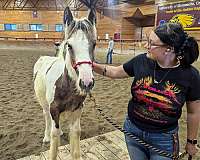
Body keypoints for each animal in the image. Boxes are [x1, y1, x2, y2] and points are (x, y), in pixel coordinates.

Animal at [33, 6, 97, 160]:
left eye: (94, 44)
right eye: (69, 45)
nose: (86, 83)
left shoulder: (77, 110)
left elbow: (76, 138)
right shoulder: (53, 109)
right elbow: (54, 143)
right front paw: (51, 138)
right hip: (44, 104)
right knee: (46, 117)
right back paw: (46, 137)